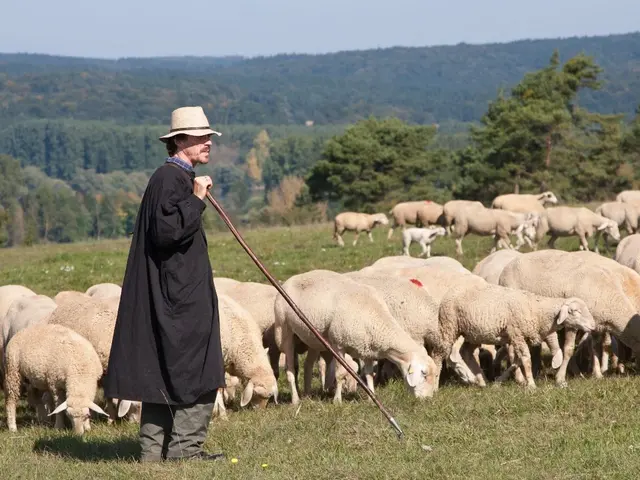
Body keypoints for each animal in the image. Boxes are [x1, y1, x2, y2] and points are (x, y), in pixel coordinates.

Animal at [272, 270, 438, 404]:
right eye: (424, 374)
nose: (427, 400)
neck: (375, 317)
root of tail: (292, 279)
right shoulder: (338, 345)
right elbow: (339, 374)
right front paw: (337, 401)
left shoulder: (368, 349)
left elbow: (369, 375)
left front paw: (372, 397)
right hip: (284, 330)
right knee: (290, 368)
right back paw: (295, 399)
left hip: (313, 337)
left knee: (307, 365)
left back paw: (307, 394)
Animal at [440, 282, 596, 390]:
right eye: (575, 311)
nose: (593, 325)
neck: (536, 309)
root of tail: (451, 291)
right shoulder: (517, 333)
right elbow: (526, 359)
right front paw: (531, 385)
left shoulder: (519, 336)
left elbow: (517, 361)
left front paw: (499, 382)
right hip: (449, 327)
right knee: (447, 355)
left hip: (473, 333)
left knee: (466, 353)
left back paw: (482, 381)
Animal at [498, 249, 640, 388]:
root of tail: (507, 266)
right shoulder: (573, 322)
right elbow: (569, 349)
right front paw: (560, 378)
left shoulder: (595, 324)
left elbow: (594, 347)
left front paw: (598, 374)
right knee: (511, 349)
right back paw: (520, 378)